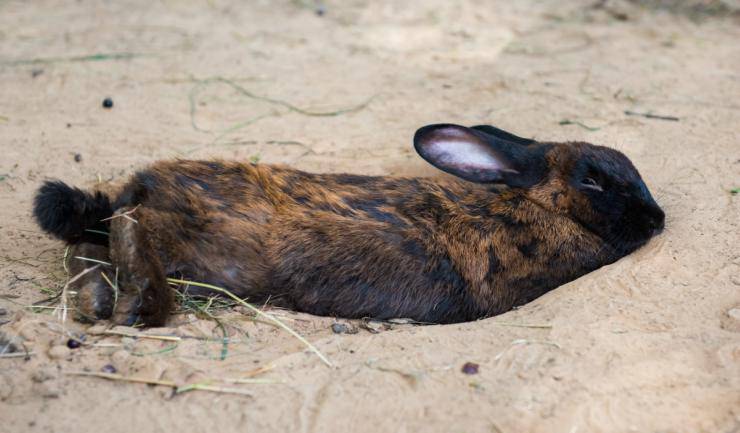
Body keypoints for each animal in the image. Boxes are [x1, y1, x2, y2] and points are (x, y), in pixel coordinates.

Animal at [32, 124, 665, 326]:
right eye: (593, 180)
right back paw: (136, 304)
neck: (541, 206)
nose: (658, 220)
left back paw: (97, 301)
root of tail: (136, 191)